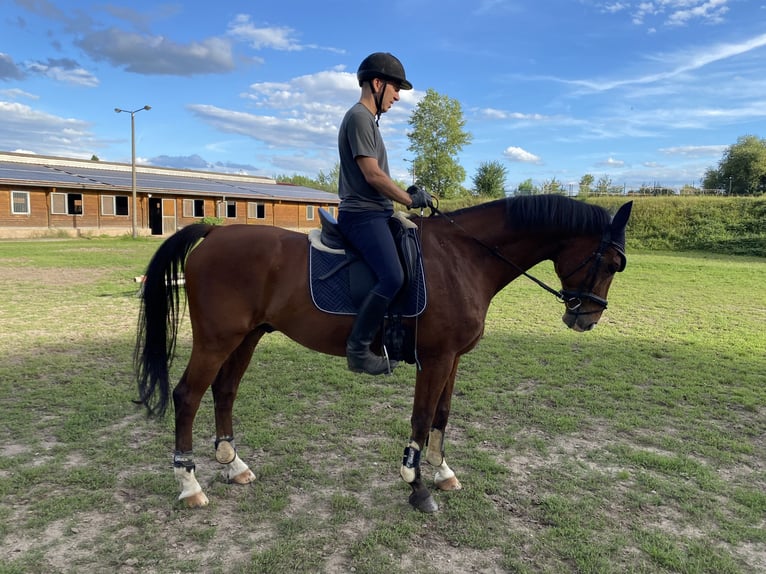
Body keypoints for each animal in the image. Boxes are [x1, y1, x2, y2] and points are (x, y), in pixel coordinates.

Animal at [134, 194, 633, 512]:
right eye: (611, 263)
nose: (587, 319)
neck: (464, 257)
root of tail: (214, 233)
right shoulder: (435, 358)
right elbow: (421, 418)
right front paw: (417, 487)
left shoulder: (453, 358)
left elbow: (441, 416)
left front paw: (442, 472)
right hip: (218, 339)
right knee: (187, 397)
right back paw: (189, 485)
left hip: (248, 337)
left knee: (225, 391)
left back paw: (233, 465)